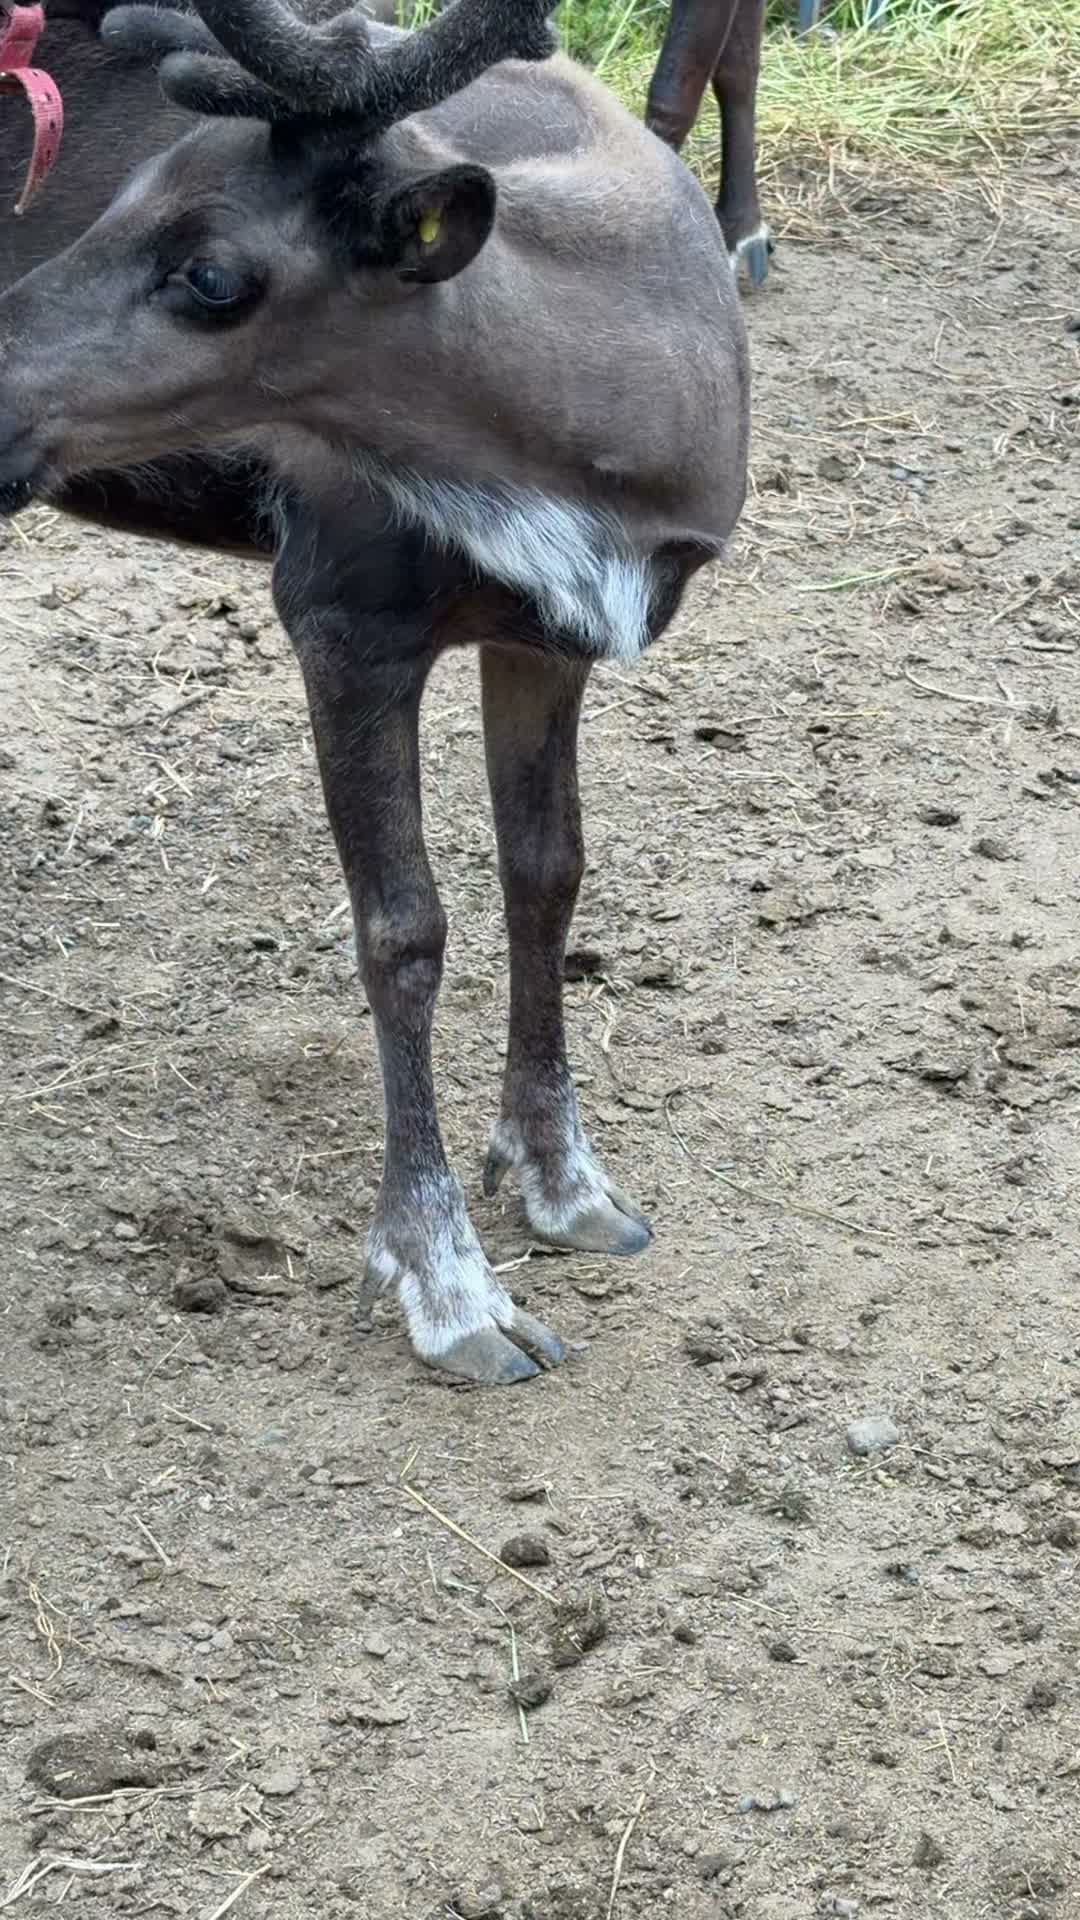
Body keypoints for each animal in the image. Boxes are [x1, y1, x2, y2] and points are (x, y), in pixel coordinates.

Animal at [0, 0, 749, 1387]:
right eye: (111, 196)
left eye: (212, 275)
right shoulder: (343, 616)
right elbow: (403, 933)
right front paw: (446, 1281)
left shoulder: (551, 635)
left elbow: (547, 875)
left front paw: (560, 1176)